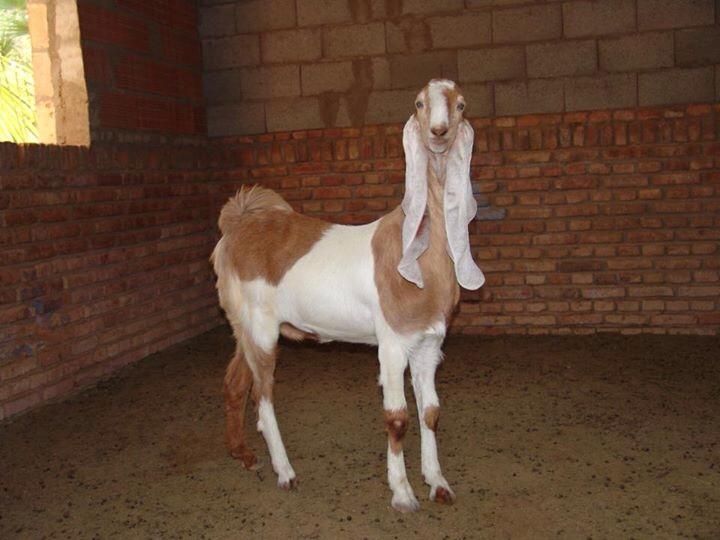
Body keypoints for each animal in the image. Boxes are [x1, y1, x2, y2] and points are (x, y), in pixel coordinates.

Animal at [211, 79, 485, 512]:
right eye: (419, 103)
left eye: (460, 105)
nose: (439, 132)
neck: (418, 256)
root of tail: (238, 225)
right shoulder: (392, 344)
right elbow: (397, 417)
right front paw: (402, 493)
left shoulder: (429, 343)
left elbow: (430, 412)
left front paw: (438, 483)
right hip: (261, 327)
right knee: (263, 395)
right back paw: (285, 472)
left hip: (242, 325)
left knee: (236, 381)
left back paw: (243, 454)